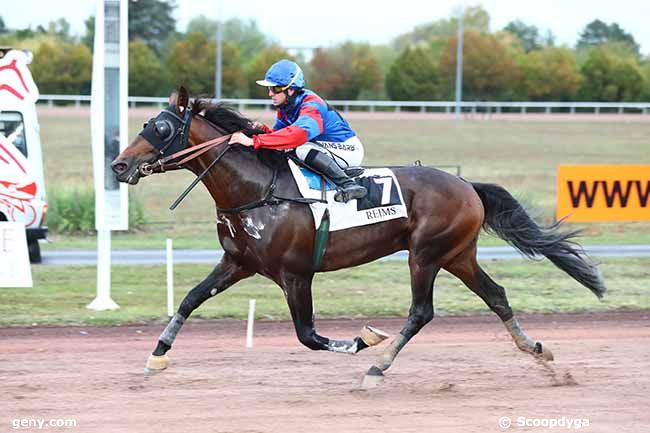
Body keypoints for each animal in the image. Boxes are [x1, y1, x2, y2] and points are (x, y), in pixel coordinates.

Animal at [110, 88, 604, 384]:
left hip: (425, 254)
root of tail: (467, 185)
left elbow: (308, 335)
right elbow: (190, 299)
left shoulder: (295, 274)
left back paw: (378, 365)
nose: (118, 165)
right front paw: (157, 355)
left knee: (421, 312)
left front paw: (365, 339)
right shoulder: (239, 263)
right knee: (497, 295)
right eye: (145, 124)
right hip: (458, 254)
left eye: (161, 128)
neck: (256, 190)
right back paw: (536, 349)